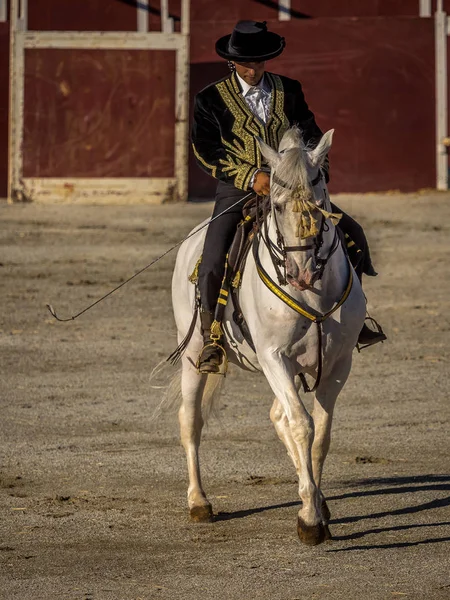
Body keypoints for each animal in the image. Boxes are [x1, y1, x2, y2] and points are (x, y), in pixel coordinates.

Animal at [171, 129, 368, 548]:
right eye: (276, 207)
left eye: (321, 203)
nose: (300, 272)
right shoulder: (274, 356)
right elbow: (302, 425)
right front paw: (309, 520)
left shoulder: (338, 363)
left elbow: (319, 432)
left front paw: (315, 506)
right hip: (194, 351)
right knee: (190, 418)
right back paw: (199, 502)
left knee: (279, 415)